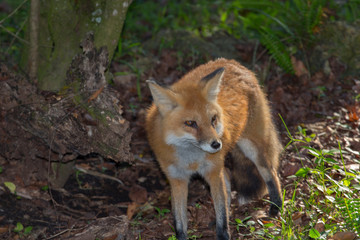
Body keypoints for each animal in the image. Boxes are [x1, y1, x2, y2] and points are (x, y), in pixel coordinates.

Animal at [145, 58, 282, 240]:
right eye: (190, 123)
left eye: (213, 119)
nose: (217, 144)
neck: (191, 159)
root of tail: (232, 63)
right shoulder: (177, 179)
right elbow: (180, 223)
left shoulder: (212, 173)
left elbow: (222, 218)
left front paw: (223, 233)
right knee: (228, 177)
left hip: (252, 148)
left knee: (271, 173)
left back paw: (276, 206)